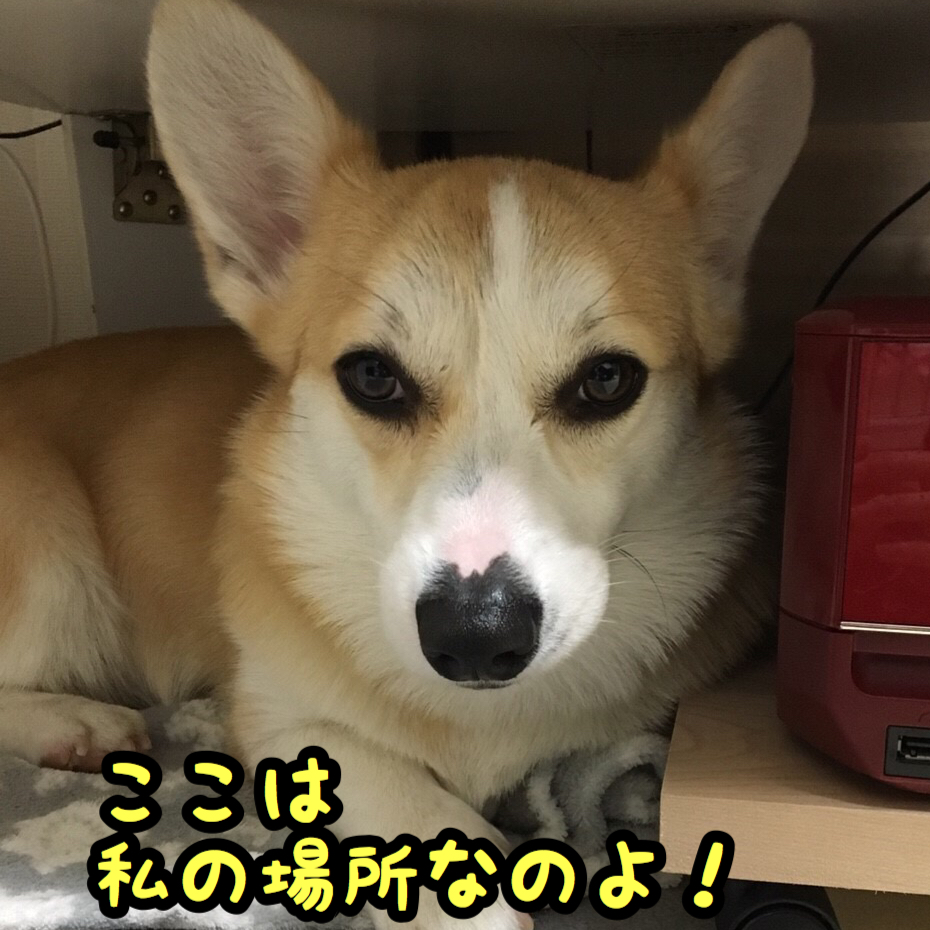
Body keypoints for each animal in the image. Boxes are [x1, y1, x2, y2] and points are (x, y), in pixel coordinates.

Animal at [0, 1, 812, 926]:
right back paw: (75, 721)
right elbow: (435, 819)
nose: (476, 638)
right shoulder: (291, 722)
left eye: (607, 379)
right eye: (373, 377)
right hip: (48, 545)